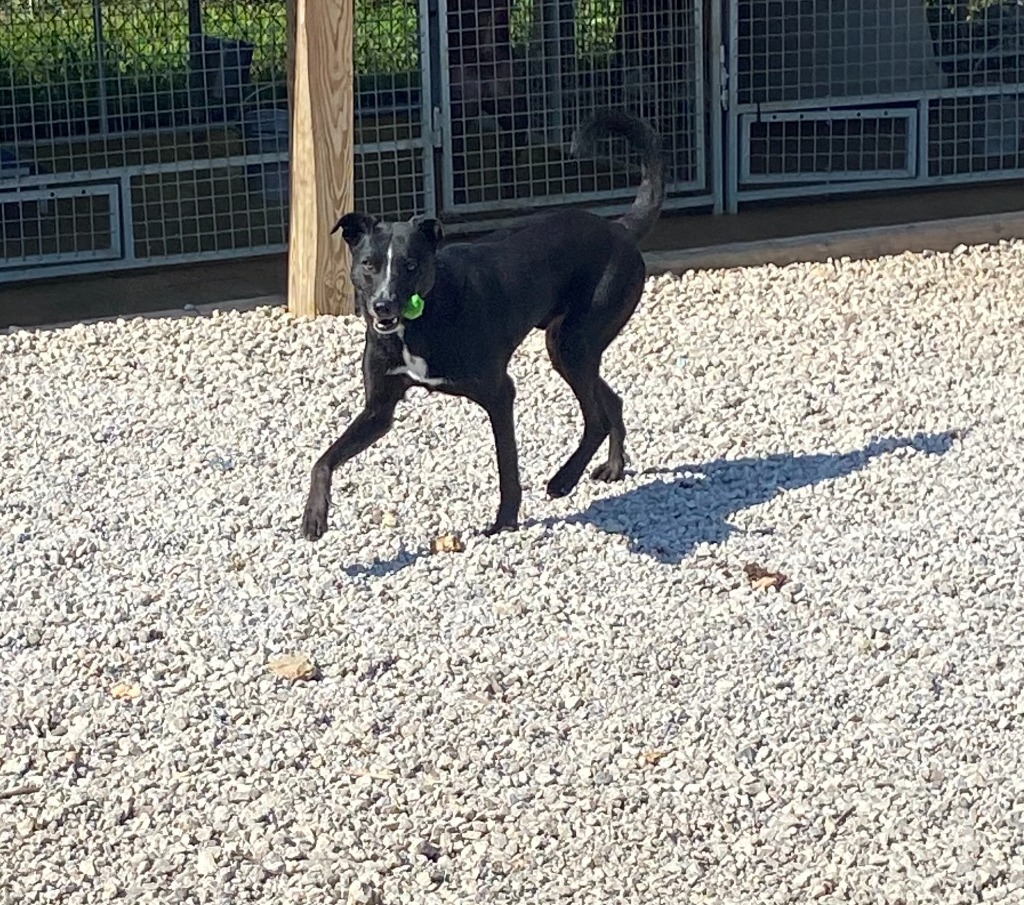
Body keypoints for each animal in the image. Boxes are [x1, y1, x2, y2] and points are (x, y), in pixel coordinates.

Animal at [299, 109, 663, 540]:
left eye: (410, 265)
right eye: (368, 264)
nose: (383, 306)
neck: (424, 319)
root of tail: (619, 229)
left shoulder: (500, 394)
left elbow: (508, 468)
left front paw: (504, 522)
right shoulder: (379, 409)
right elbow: (323, 459)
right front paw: (314, 515)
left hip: (575, 340)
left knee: (596, 418)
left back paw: (563, 480)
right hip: (568, 346)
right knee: (610, 401)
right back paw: (613, 467)